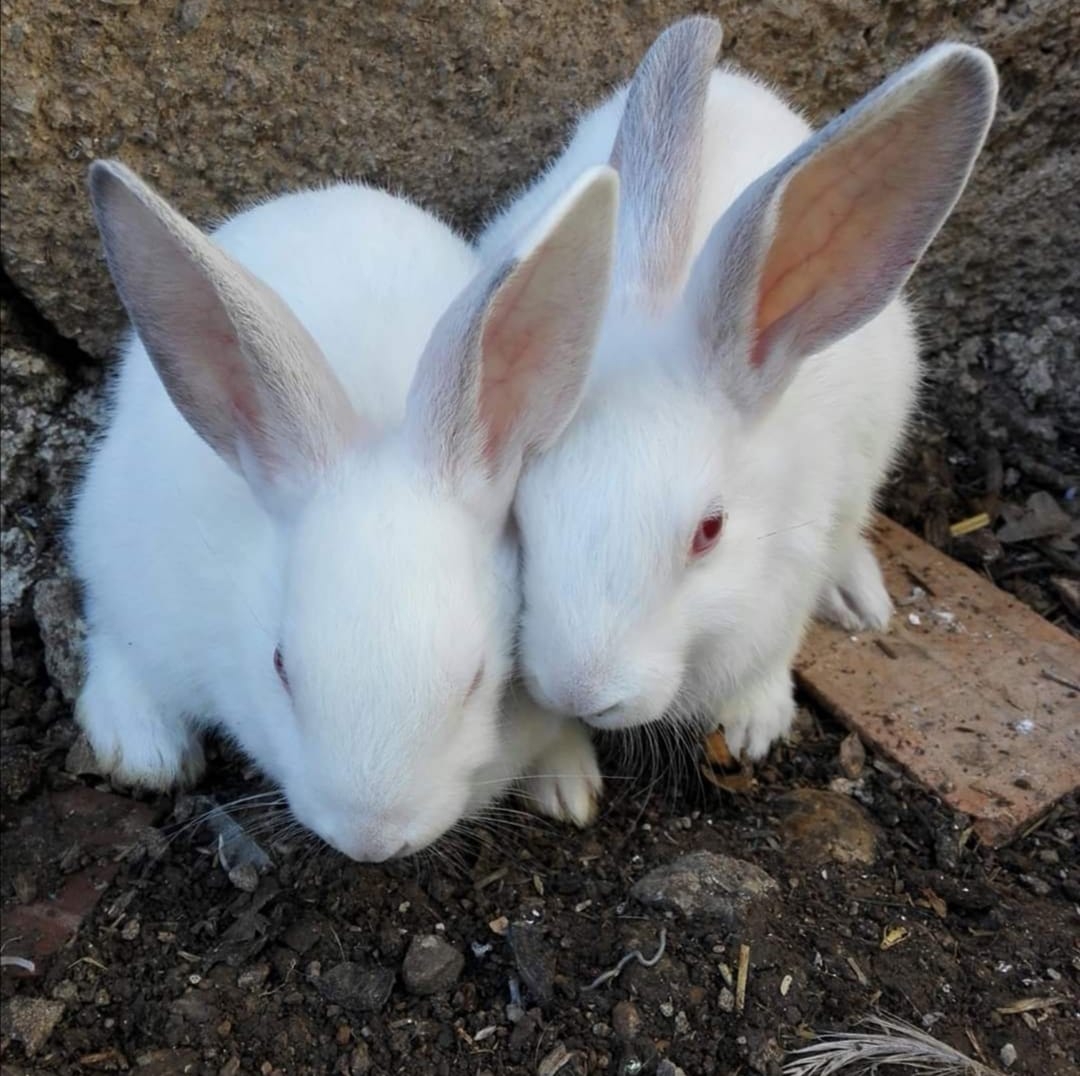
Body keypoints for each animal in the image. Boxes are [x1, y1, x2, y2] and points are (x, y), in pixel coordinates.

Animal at [70, 158, 619, 862]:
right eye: (281, 667)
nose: (370, 839)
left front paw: (569, 784)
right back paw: (142, 749)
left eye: (477, 678)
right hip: (115, 539)